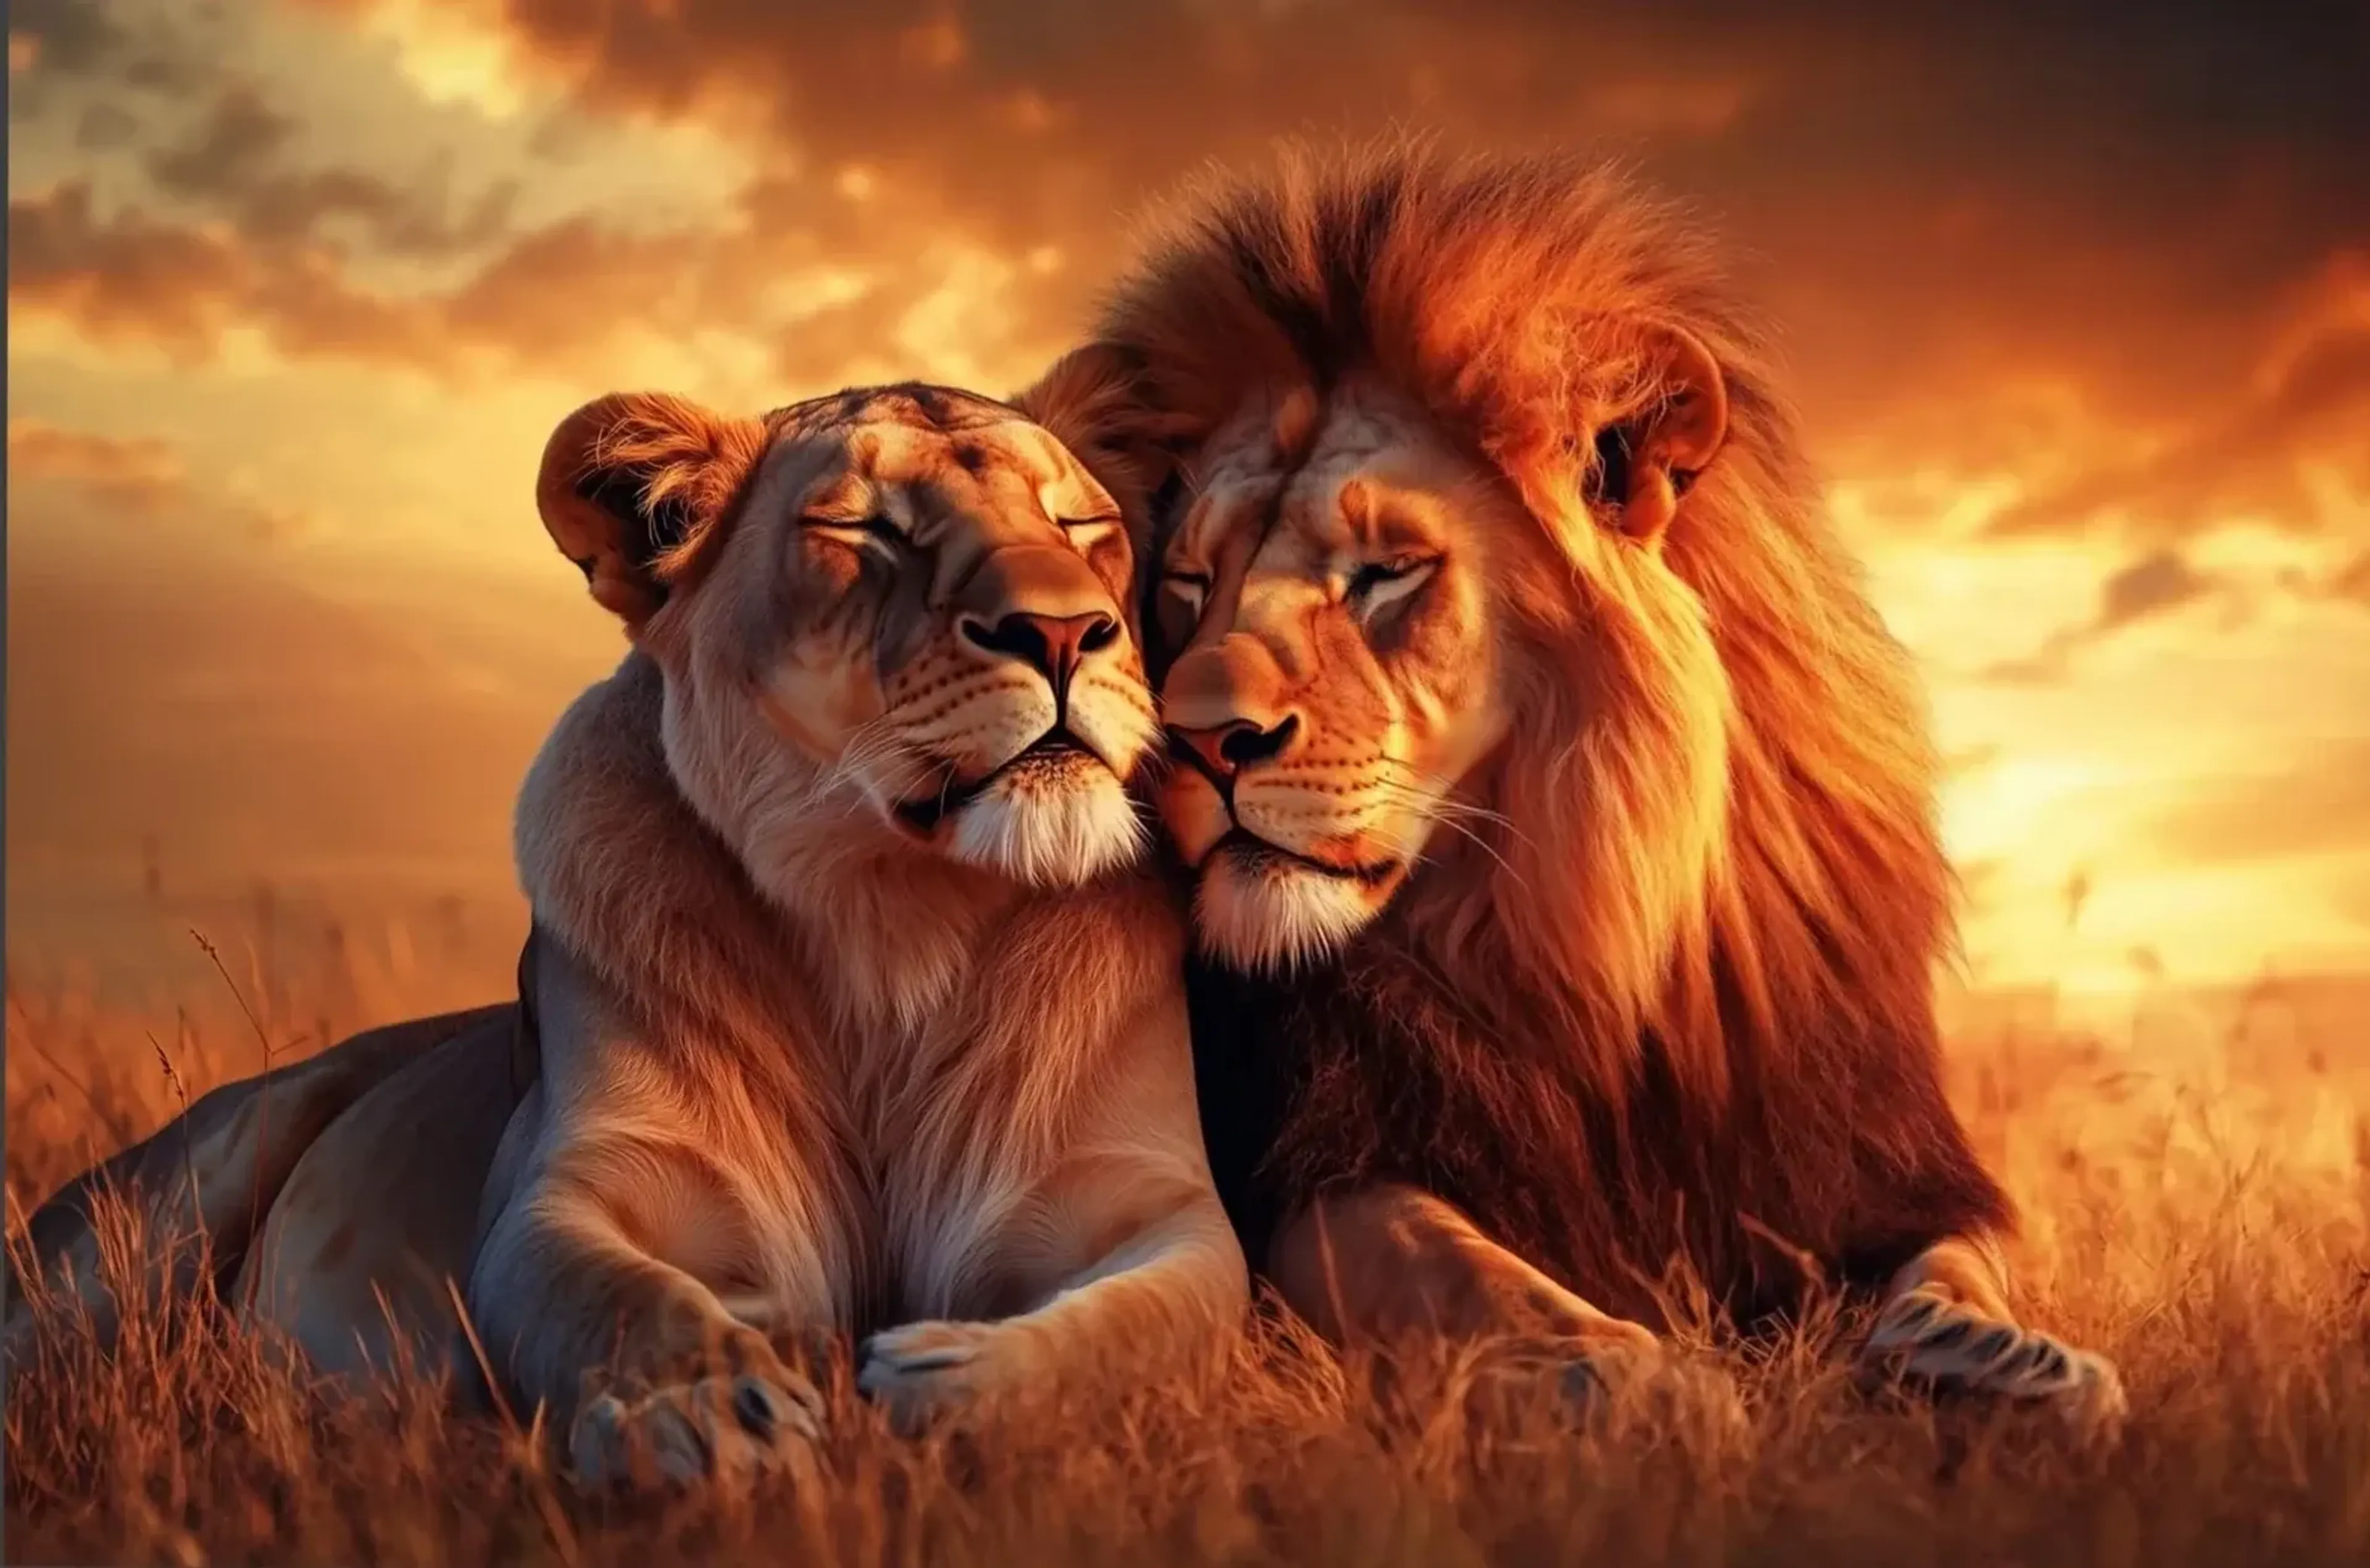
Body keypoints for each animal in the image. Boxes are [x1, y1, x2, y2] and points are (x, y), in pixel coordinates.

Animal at [3, 367, 1249, 1489]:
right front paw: (708, 1410)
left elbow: (1150, 1326)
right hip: (153, 1214)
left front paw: (960, 1393)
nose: (1066, 631)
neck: (892, 919)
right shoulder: (576, 1184)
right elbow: (619, 1296)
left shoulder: (1157, 1205)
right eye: (862, 528)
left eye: (1081, 523)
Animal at [1063, 138, 2126, 1426]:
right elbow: (1453, 1266)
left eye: (1387, 572)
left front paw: (2005, 1362)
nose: (1202, 738)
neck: (1570, 936)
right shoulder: (1312, 1160)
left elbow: (1957, 1263)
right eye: (1187, 581)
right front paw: (1640, 1377)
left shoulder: (1870, 1155)